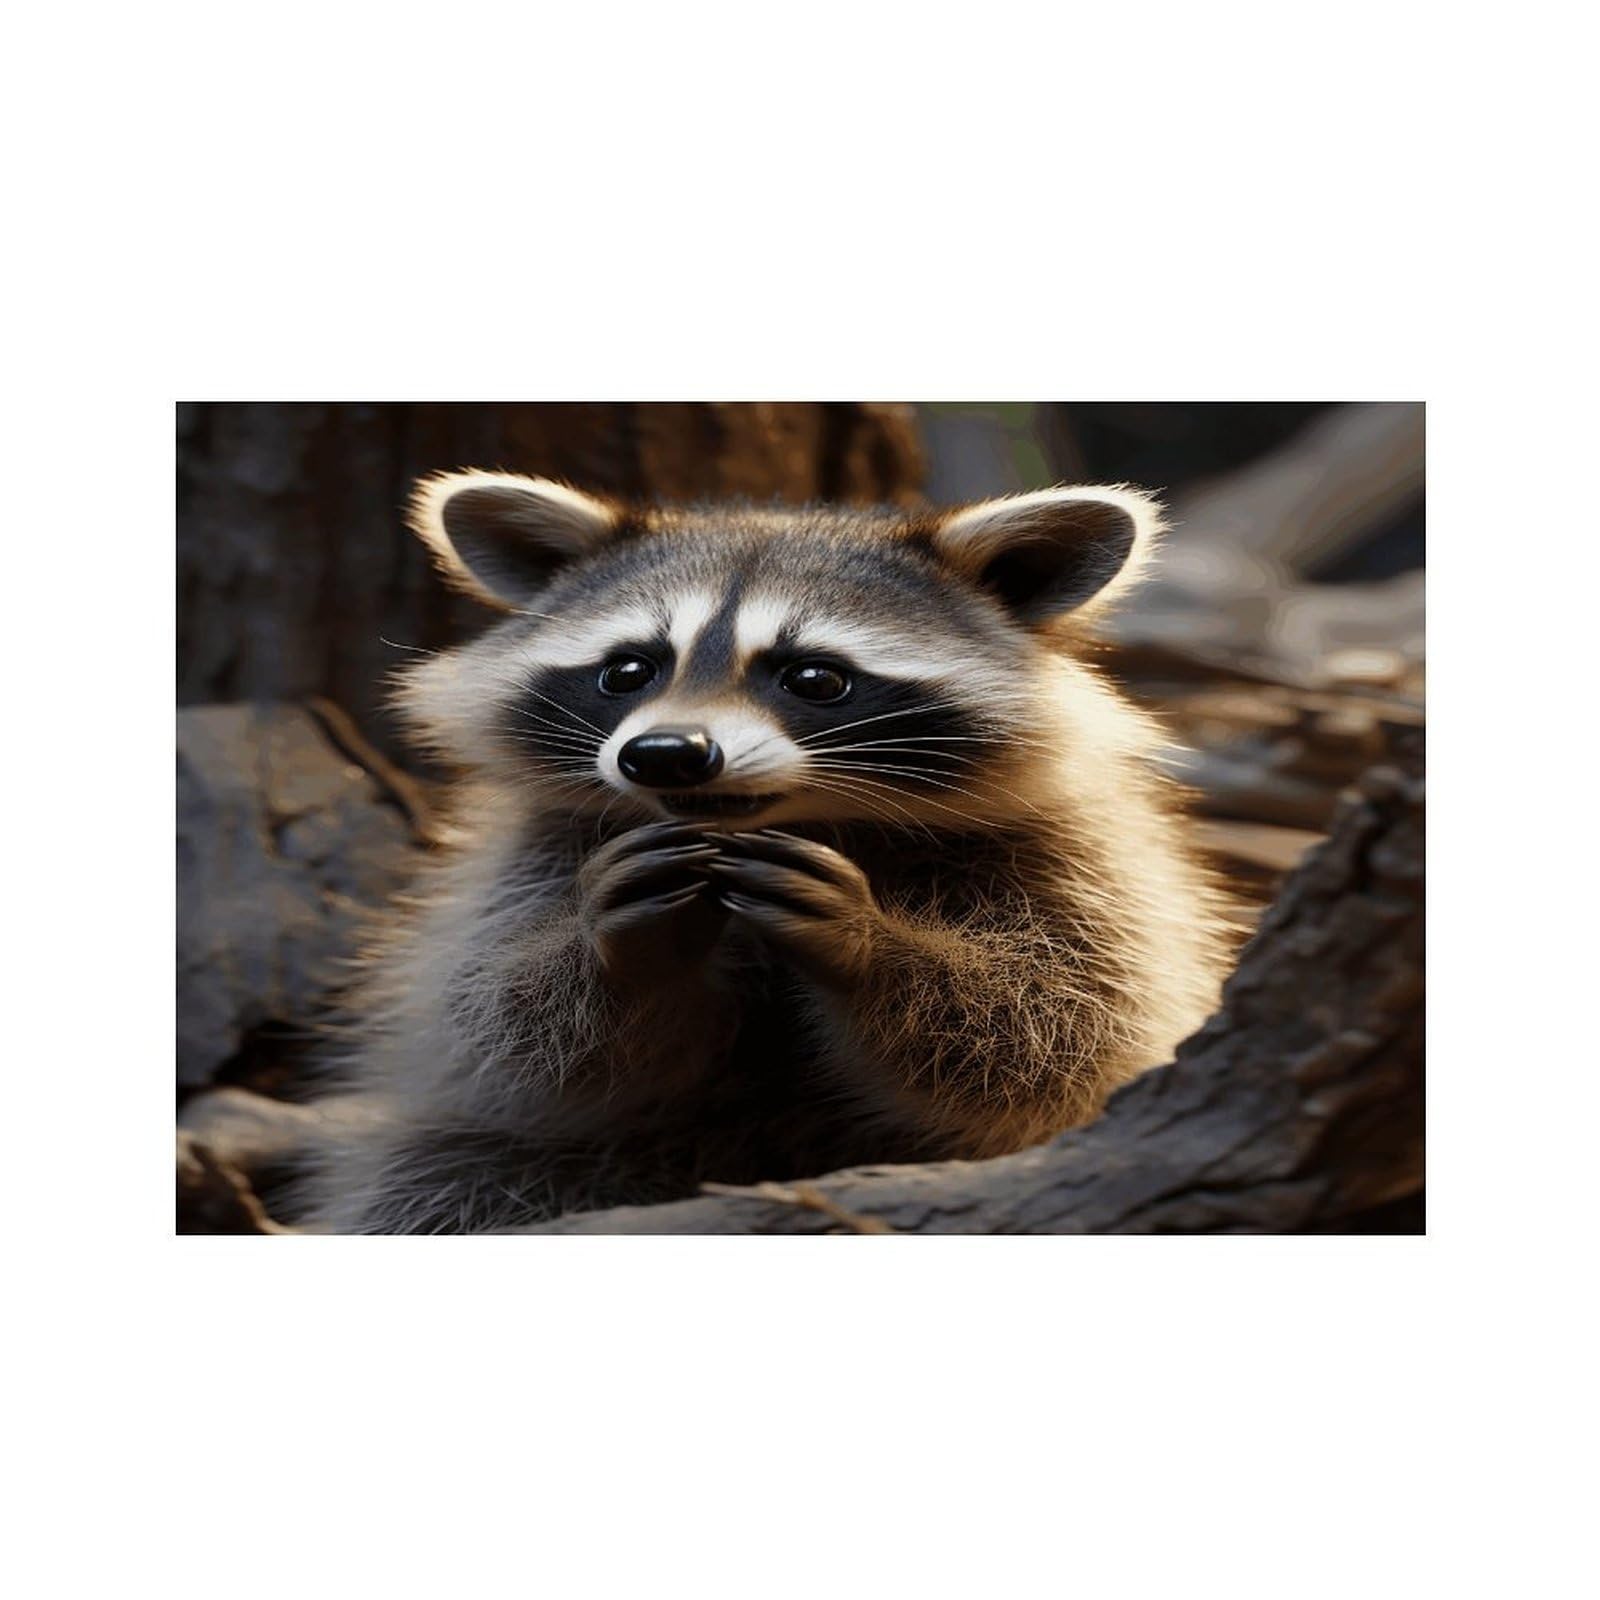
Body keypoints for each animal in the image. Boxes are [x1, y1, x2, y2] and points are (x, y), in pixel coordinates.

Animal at [298, 471, 1232, 1233]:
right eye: (629, 670)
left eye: (814, 678)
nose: (665, 754)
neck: (786, 820)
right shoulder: (538, 853)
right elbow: (496, 1016)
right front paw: (615, 950)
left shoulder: (1074, 854)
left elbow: (1060, 1026)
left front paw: (872, 944)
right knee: (442, 1180)